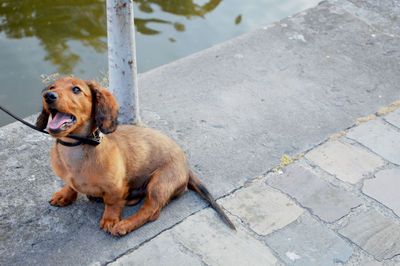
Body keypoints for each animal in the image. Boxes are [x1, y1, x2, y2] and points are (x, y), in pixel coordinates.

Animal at [36, 76, 236, 235]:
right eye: (52, 87)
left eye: (76, 89)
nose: (49, 96)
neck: (77, 148)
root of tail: (186, 165)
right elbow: (71, 185)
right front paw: (65, 195)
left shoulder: (116, 188)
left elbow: (112, 203)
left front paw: (110, 220)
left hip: (158, 184)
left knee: (151, 211)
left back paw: (125, 225)